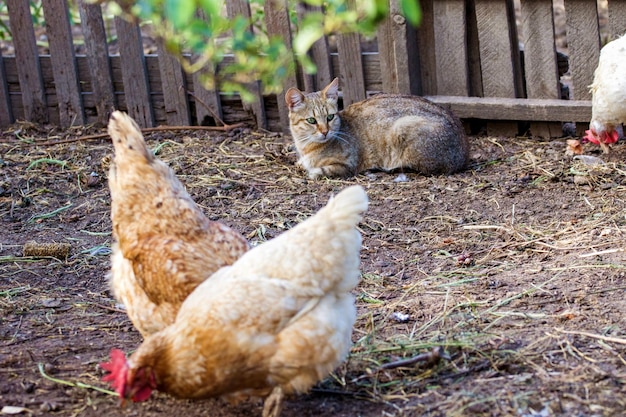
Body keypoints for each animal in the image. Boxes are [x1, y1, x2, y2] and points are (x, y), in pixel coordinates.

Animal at [284, 77, 468, 178]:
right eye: (311, 120)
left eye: (330, 117)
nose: (325, 131)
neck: (306, 147)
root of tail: (464, 154)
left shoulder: (347, 165)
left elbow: (321, 170)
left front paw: (312, 170)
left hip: (402, 127)